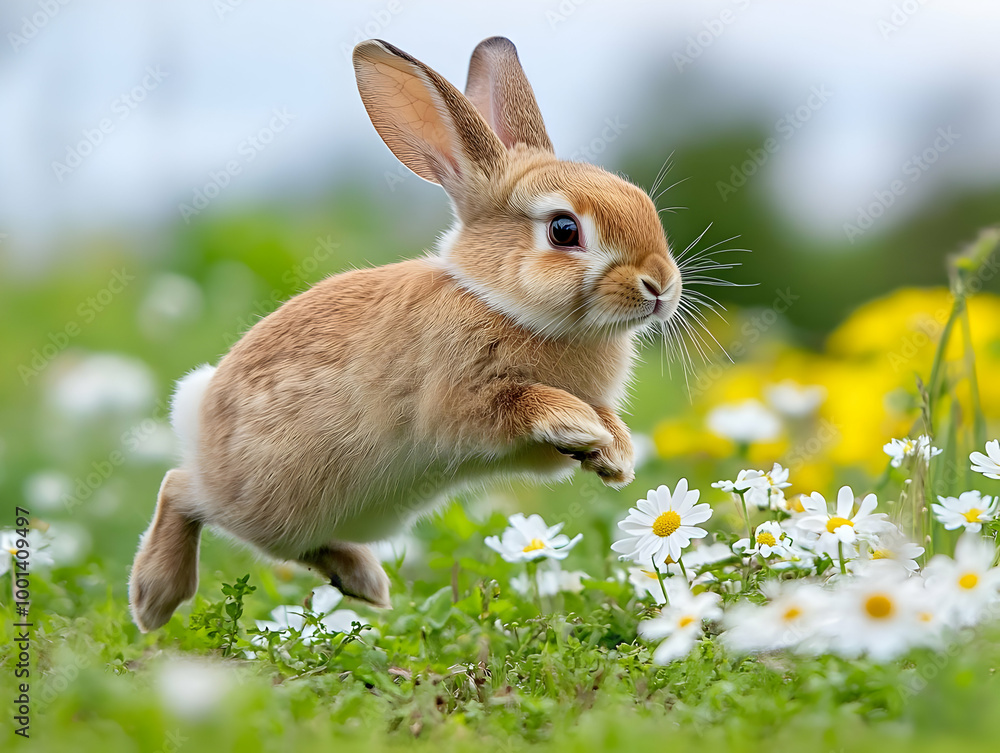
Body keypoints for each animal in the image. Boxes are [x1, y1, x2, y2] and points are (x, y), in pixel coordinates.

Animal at [129, 36, 682, 632]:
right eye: (564, 229)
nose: (661, 285)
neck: (497, 300)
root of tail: (199, 412)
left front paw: (614, 456)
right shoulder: (458, 403)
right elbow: (517, 404)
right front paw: (579, 425)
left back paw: (363, 581)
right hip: (265, 498)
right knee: (182, 491)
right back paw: (153, 599)